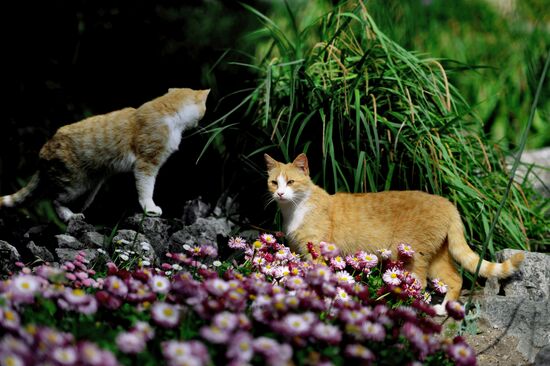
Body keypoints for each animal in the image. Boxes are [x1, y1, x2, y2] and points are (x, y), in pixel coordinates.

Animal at [0, 87, 211, 222]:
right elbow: (146, 189)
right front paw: (150, 208)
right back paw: (70, 216)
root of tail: (43, 152)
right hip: (75, 184)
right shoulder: (146, 164)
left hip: (90, 189)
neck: (168, 111)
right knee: (55, 200)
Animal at [266, 154, 528, 312]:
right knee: (456, 279)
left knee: (419, 284)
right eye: (273, 182)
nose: (280, 193)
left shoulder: (317, 253)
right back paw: (440, 310)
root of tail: (448, 204)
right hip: (436, 256)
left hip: (413, 255)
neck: (295, 209)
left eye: (290, 182)